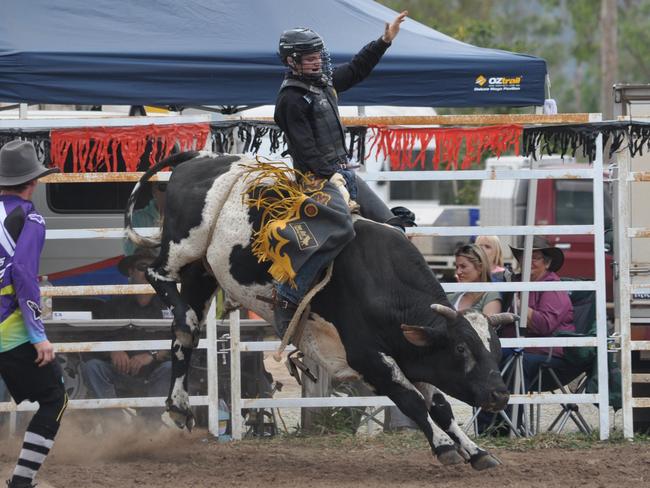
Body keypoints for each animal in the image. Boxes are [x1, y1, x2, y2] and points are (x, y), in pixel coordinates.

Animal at [125, 152, 512, 468]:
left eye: (496, 347)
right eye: (461, 348)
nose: (500, 394)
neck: (381, 279)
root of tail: (199, 159)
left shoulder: (409, 353)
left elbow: (440, 406)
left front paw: (476, 451)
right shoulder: (367, 356)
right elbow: (412, 400)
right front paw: (445, 446)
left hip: (202, 271)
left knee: (184, 337)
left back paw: (178, 406)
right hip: (183, 246)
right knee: (158, 277)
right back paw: (180, 324)